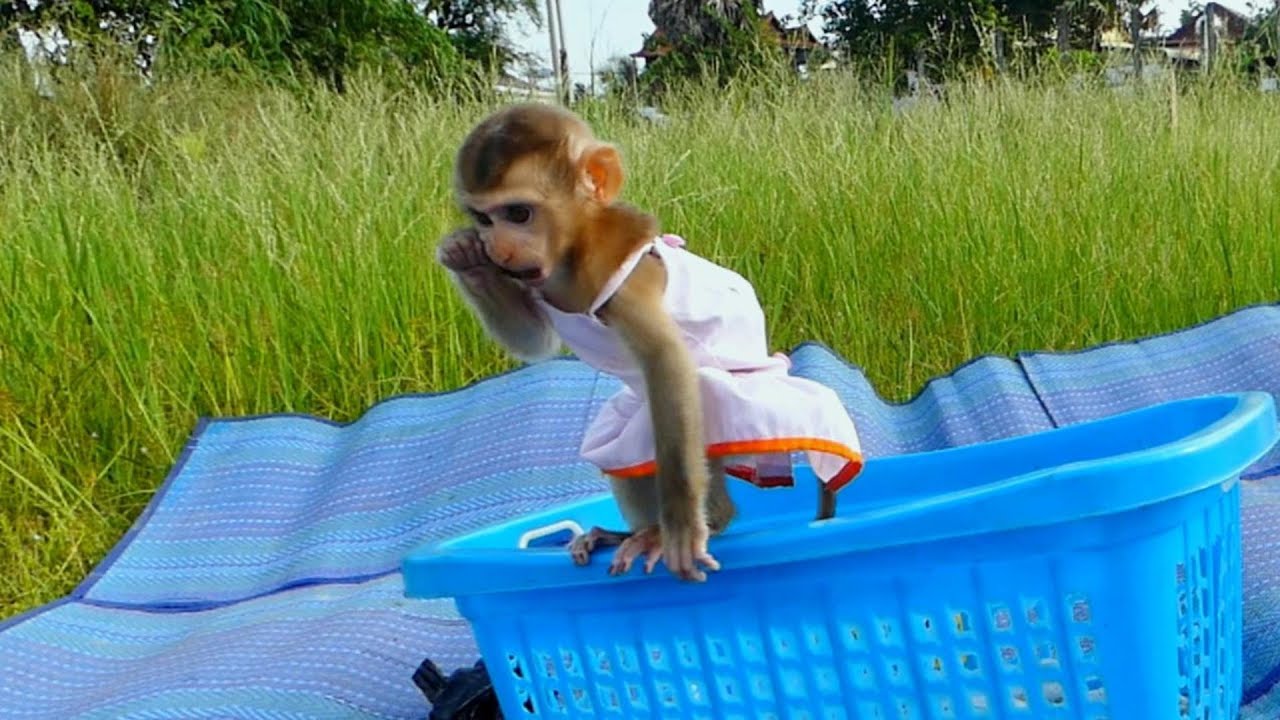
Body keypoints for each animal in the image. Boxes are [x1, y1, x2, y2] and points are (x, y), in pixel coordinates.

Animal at [436, 103, 864, 583]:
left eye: (518, 214)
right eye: (484, 219)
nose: (499, 247)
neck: (570, 254)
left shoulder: (625, 281)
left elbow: (667, 361)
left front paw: (678, 529)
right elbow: (535, 342)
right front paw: (465, 256)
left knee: (693, 392)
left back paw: (700, 521)